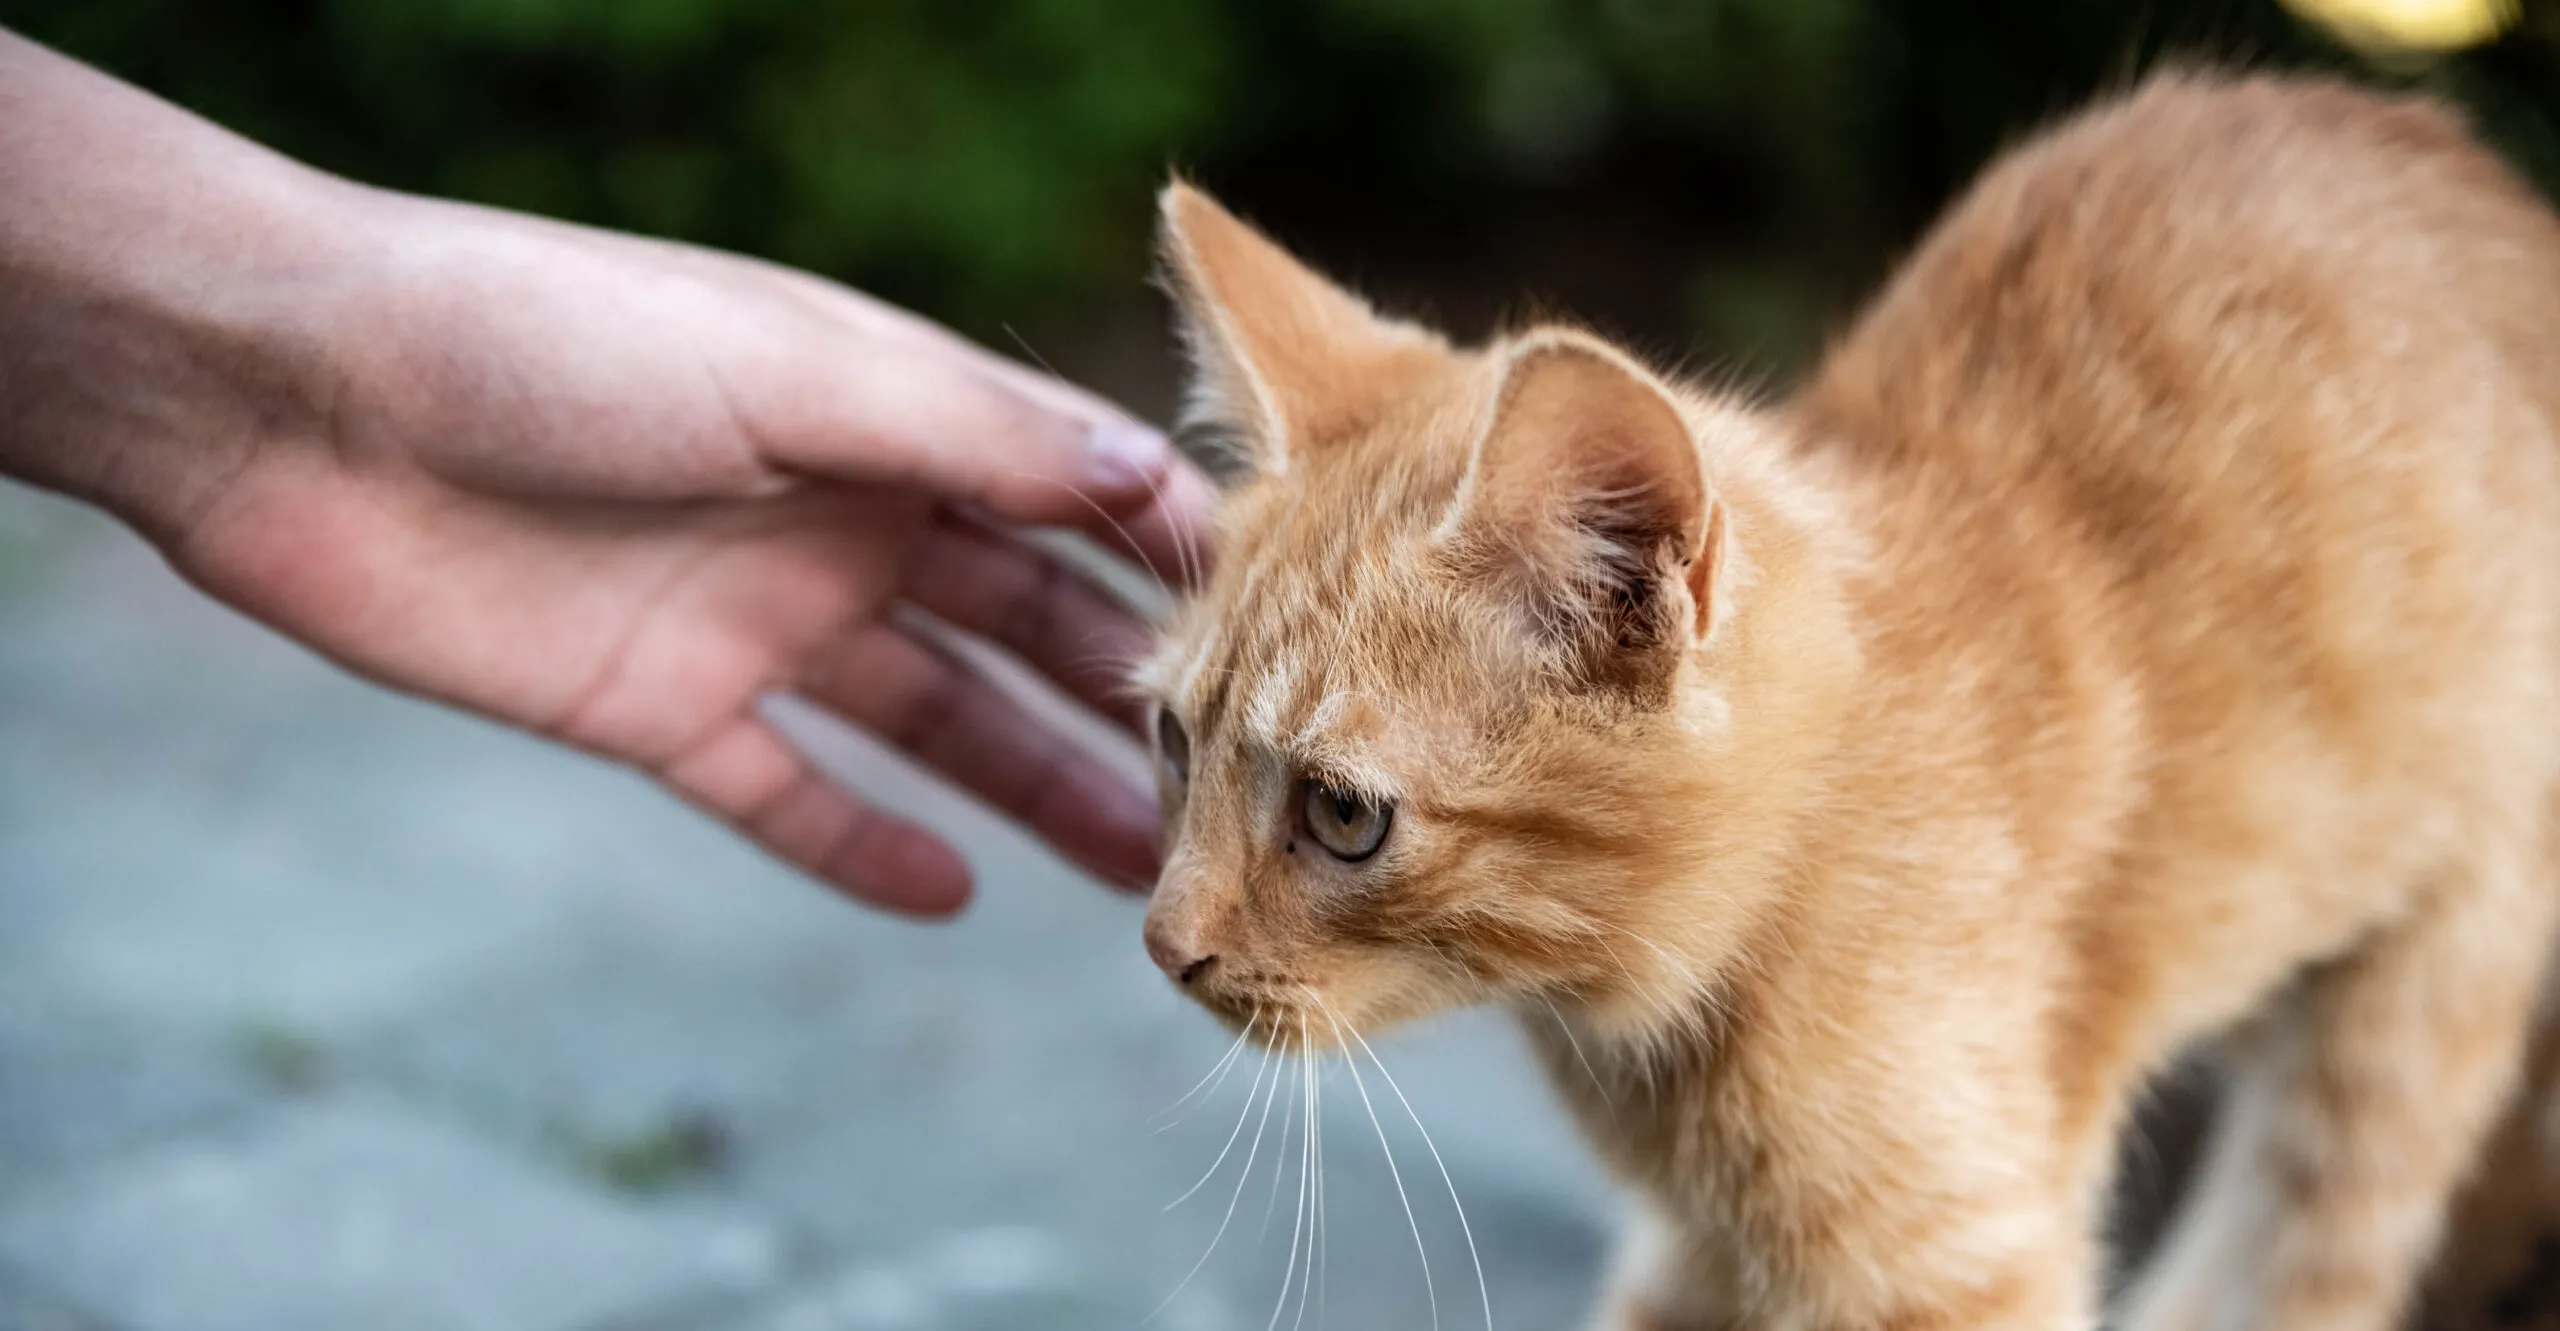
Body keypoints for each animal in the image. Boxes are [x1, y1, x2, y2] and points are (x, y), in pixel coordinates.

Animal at [1152, 75, 2560, 1331]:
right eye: (1174, 739)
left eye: (1343, 813)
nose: (1166, 948)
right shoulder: (1695, 1255)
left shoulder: (1956, 1259)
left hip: (2411, 1016)